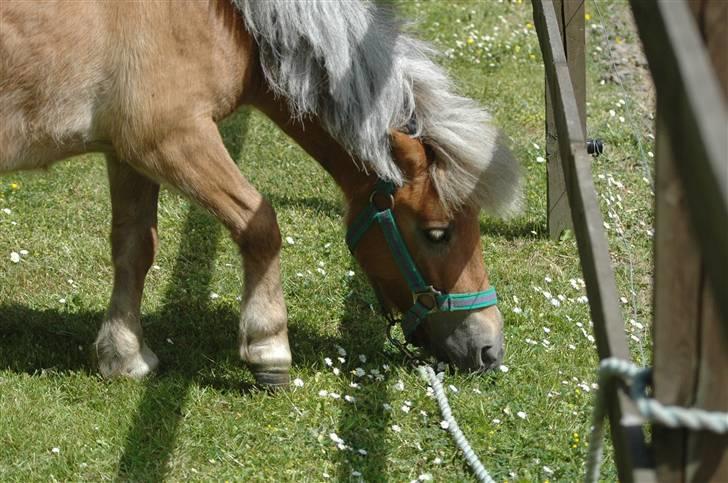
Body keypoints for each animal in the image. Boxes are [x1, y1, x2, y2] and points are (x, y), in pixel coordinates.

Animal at [1, 0, 524, 386]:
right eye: (438, 232)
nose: (489, 349)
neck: (223, 19)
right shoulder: (172, 140)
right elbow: (260, 225)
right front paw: (269, 349)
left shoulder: (128, 153)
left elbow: (135, 248)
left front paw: (124, 355)